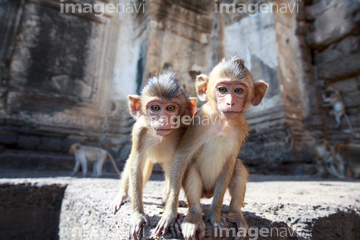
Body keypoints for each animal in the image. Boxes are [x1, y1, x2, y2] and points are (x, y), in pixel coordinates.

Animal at [112, 72, 197, 239]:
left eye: (170, 108)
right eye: (155, 107)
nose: (163, 120)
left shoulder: (186, 132)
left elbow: (177, 168)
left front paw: (170, 215)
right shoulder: (139, 132)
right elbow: (136, 168)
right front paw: (137, 215)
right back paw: (122, 195)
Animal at [155, 57, 268, 239]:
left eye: (238, 90)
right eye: (222, 89)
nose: (230, 102)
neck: (222, 121)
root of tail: (206, 193)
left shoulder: (241, 128)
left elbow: (230, 162)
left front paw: (215, 216)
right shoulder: (199, 122)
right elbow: (182, 156)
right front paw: (170, 213)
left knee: (237, 168)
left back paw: (235, 213)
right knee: (191, 170)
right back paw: (194, 217)